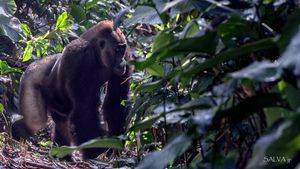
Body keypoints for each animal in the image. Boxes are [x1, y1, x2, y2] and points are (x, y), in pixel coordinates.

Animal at [17, 20, 129, 159]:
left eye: (123, 50)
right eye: (117, 50)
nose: (122, 62)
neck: (96, 51)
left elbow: (115, 104)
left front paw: (114, 146)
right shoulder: (79, 58)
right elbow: (84, 111)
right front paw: (97, 150)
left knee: (60, 119)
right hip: (30, 77)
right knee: (35, 122)